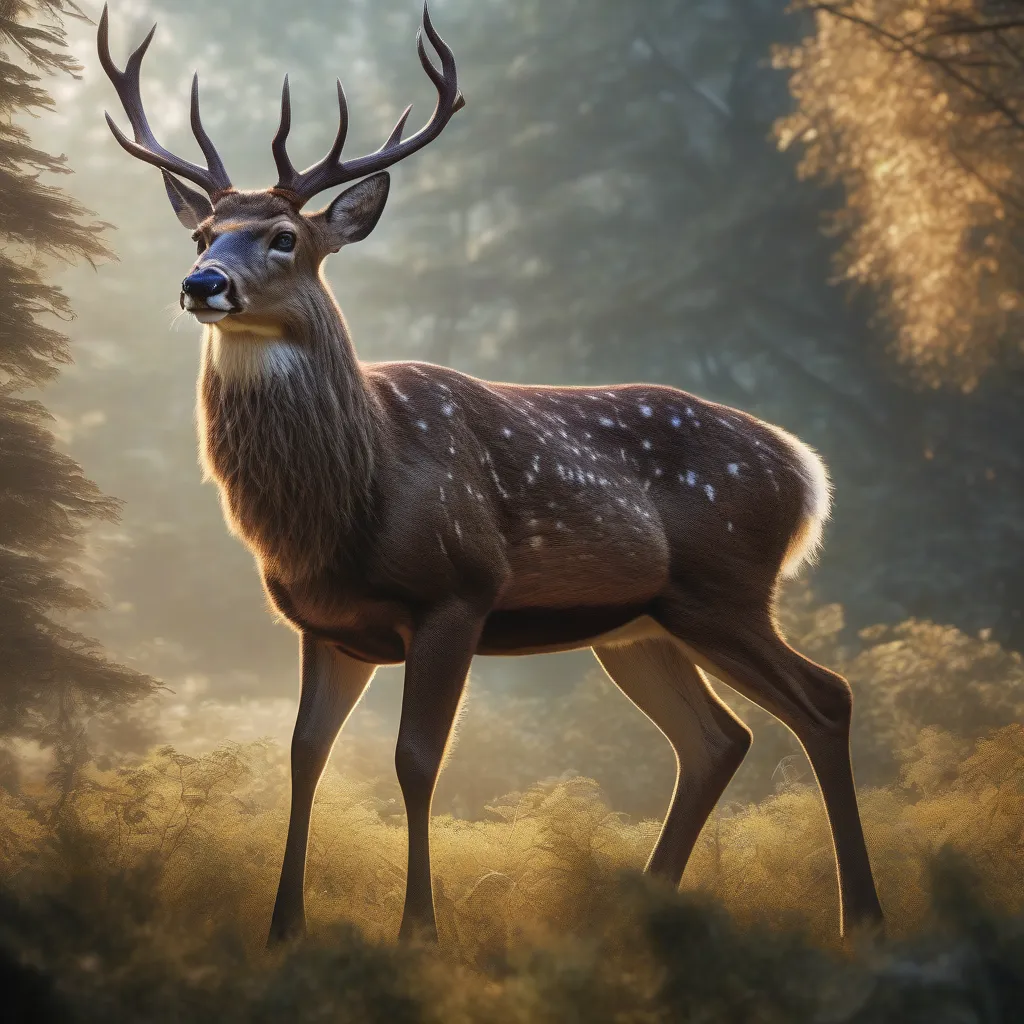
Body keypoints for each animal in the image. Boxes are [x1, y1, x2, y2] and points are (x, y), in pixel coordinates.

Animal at [97, 2, 884, 946]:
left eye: (285, 238)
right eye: (203, 234)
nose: (202, 283)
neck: (350, 500)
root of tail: (806, 473)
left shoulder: (457, 590)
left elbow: (416, 760)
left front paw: (420, 933)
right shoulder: (326, 625)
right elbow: (305, 755)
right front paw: (283, 929)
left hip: (723, 586)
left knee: (825, 697)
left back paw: (862, 920)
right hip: (639, 627)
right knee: (717, 739)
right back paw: (640, 914)